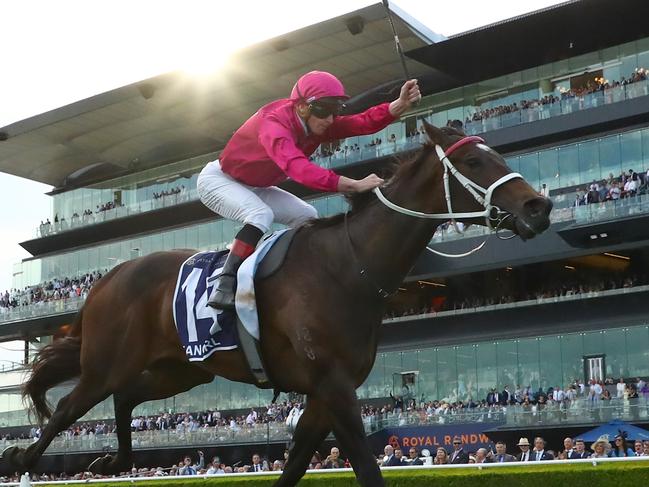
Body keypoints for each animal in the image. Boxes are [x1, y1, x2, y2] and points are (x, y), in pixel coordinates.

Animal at [3, 122, 552, 484]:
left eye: (499, 155)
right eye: (475, 161)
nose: (539, 207)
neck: (350, 264)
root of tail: (108, 277)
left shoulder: (324, 392)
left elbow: (295, 464)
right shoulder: (333, 386)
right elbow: (365, 465)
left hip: (182, 369)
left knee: (125, 397)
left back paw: (113, 460)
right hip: (107, 361)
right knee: (68, 408)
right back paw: (22, 460)